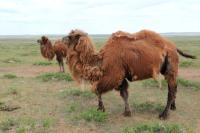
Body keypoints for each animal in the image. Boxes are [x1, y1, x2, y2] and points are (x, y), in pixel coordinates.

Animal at [61, 29, 196, 119]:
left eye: (72, 36)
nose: (62, 39)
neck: (101, 59)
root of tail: (174, 47)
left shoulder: (114, 75)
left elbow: (97, 90)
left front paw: (101, 109)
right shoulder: (121, 77)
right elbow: (124, 94)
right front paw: (127, 112)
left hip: (170, 66)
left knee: (171, 90)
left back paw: (164, 114)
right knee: (174, 86)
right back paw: (173, 107)